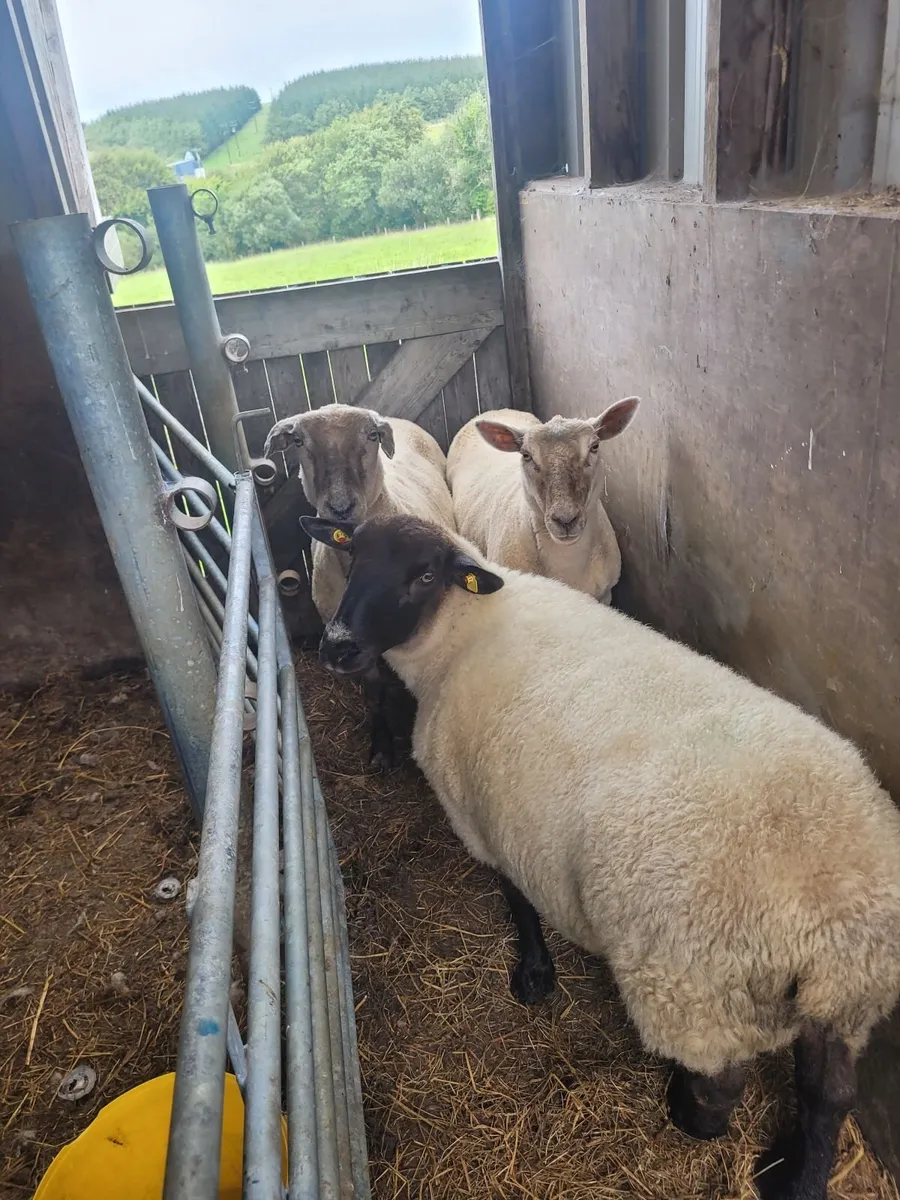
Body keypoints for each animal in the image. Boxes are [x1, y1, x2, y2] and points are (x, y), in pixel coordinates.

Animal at [265, 404, 454, 767]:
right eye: (298, 440)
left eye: (372, 436)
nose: (340, 507)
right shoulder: (350, 645)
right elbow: (374, 694)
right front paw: (381, 746)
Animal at [300, 511, 900, 1200]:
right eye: (352, 556)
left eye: (423, 575)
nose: (337, 645)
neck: (462, 635)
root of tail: (824, 912)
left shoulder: (485, 815)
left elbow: (516, 897)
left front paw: (534, 974)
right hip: (850, 1000)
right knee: (830, 1092)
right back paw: (796, 1176)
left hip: (696, 993)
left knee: (722, 1090)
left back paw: (686, 1111)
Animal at [446, 400, 638, 604]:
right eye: (526, 455)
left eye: (594, 446)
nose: (565, 520)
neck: (567, 560)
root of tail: (493, 411)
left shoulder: (606, 596)